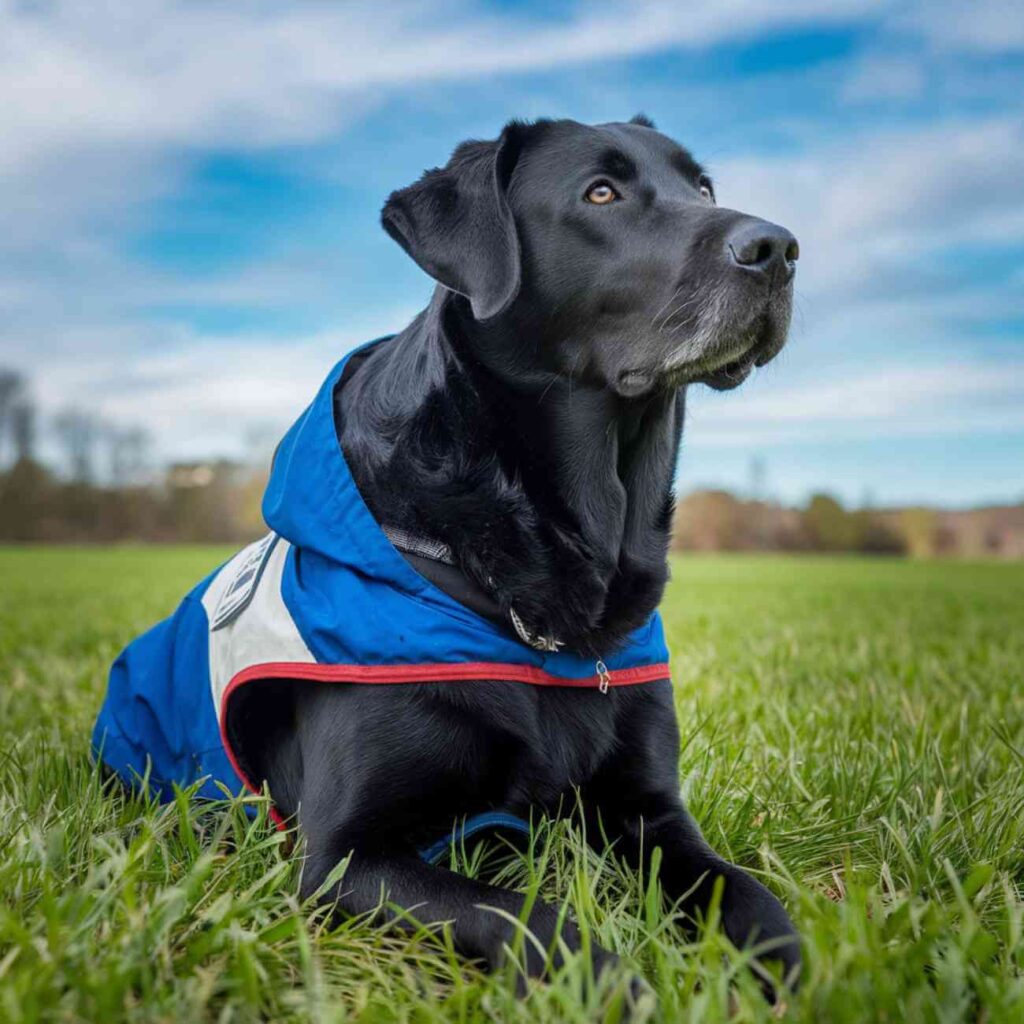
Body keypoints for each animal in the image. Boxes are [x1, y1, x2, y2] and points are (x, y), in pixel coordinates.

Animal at [243, 117, 802, 991]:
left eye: (703, 187)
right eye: (600, 193)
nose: (777, 248)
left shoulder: (649, 810)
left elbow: (745, 891)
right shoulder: (346, 855)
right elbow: (526, 916)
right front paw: (621, 986)